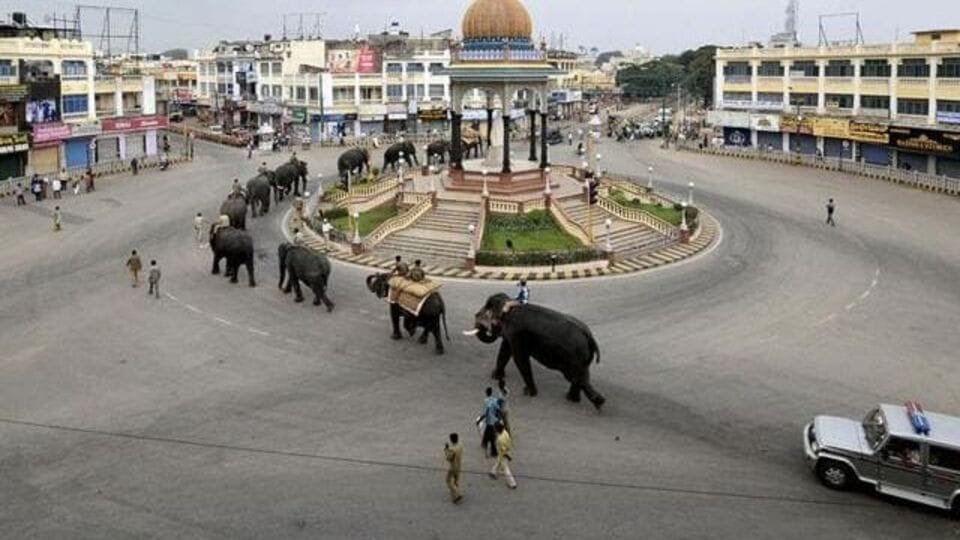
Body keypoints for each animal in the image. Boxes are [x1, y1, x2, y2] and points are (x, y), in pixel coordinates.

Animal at [466, 296, 608, 410]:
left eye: (481, 316)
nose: (476, 317)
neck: (509, 304)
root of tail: (589, 336)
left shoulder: (516, 332)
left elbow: (519, 357)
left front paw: (529, 393)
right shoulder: (510, 334)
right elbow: (505, 350)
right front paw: (495, 376)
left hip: (573, 358)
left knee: (575, 377)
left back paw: (598, 402)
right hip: (582, 358)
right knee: (581, 377)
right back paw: (573, 399)